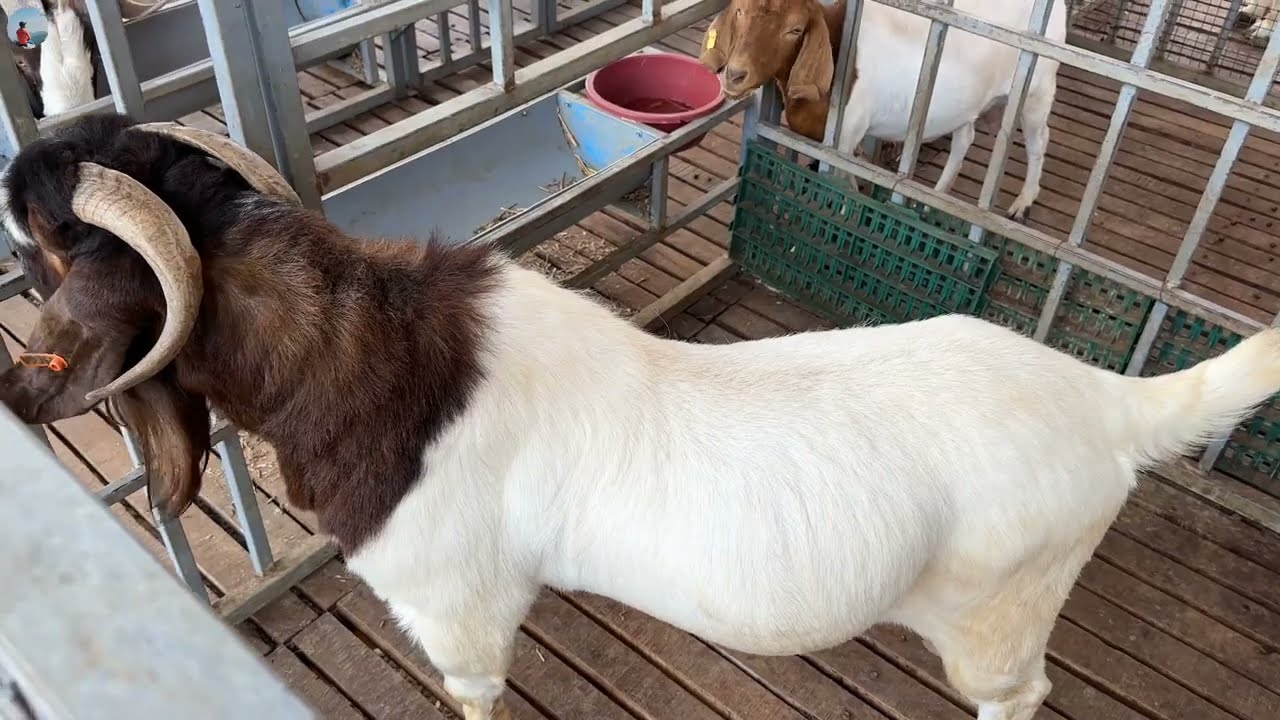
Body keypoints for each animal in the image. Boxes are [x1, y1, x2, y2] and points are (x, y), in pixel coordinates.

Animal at [5, 114, 1280, 720]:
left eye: (58, 244)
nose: (24, 392)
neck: (377, 365)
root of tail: (1108, 403)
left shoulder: (455, 611)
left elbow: (470, 690)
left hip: (999, 617)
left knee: (1018, 696)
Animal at [700, 0, 1067, 221]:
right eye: (739, 11)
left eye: (795, 29)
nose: (735, 74)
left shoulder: (846, 135)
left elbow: (844, 179)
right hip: (968, 104)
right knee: (966, 137)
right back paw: (936, 195)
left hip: (1038, 88)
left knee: (1039, 139)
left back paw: (1022, 203)